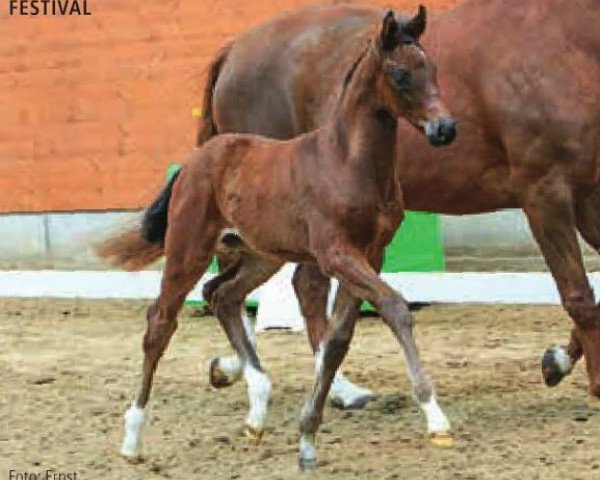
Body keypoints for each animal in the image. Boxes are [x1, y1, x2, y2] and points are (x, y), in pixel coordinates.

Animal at [99, 9, 454, 470]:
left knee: (223, 294)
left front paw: (307, 438)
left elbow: (338, 338)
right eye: (400, 74)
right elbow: (394, 307)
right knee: (160, 321)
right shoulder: (336, 252)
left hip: (260, 255)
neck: (346, 162)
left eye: (433, 69)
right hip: (188, 249)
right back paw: (132, 439)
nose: (445, 128)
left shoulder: (369, 254)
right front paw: (435, 416)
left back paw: (256, 405)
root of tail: (195, 160)